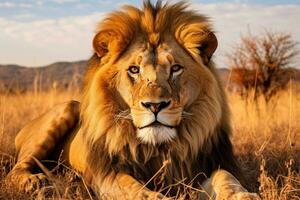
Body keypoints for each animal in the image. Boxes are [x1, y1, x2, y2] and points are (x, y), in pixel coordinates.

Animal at [7, 1, 260, 200]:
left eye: (175, 69)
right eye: (134, 70)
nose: (155, 106)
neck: (158, 149)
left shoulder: (207, 164)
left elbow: (226, 177)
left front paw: (243, 195)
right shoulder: (108, 174)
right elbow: (133, 188)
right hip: (66, 109)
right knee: (15, 170)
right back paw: (37, 182)